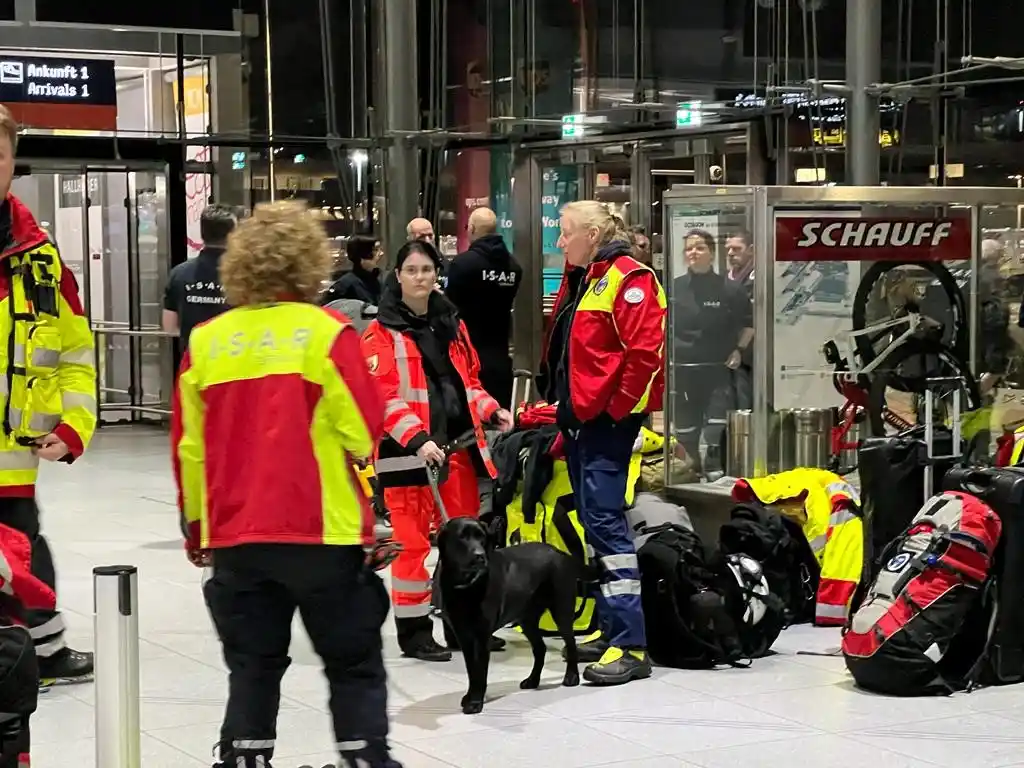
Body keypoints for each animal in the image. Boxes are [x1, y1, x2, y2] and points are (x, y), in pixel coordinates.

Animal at [436, 518, 581, 716]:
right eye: (462, 537)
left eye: (481, 537)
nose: (480, 556)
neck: (467, 585)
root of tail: (560, 553)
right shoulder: (463, 636)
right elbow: (471, 669)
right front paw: (470, 696)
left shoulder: (482, 637)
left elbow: (479, 671)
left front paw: (475, 702)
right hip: (527, 620)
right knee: (540, 649)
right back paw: (532, 680)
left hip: (562, 612)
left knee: (571, 644)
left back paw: (572, 676)